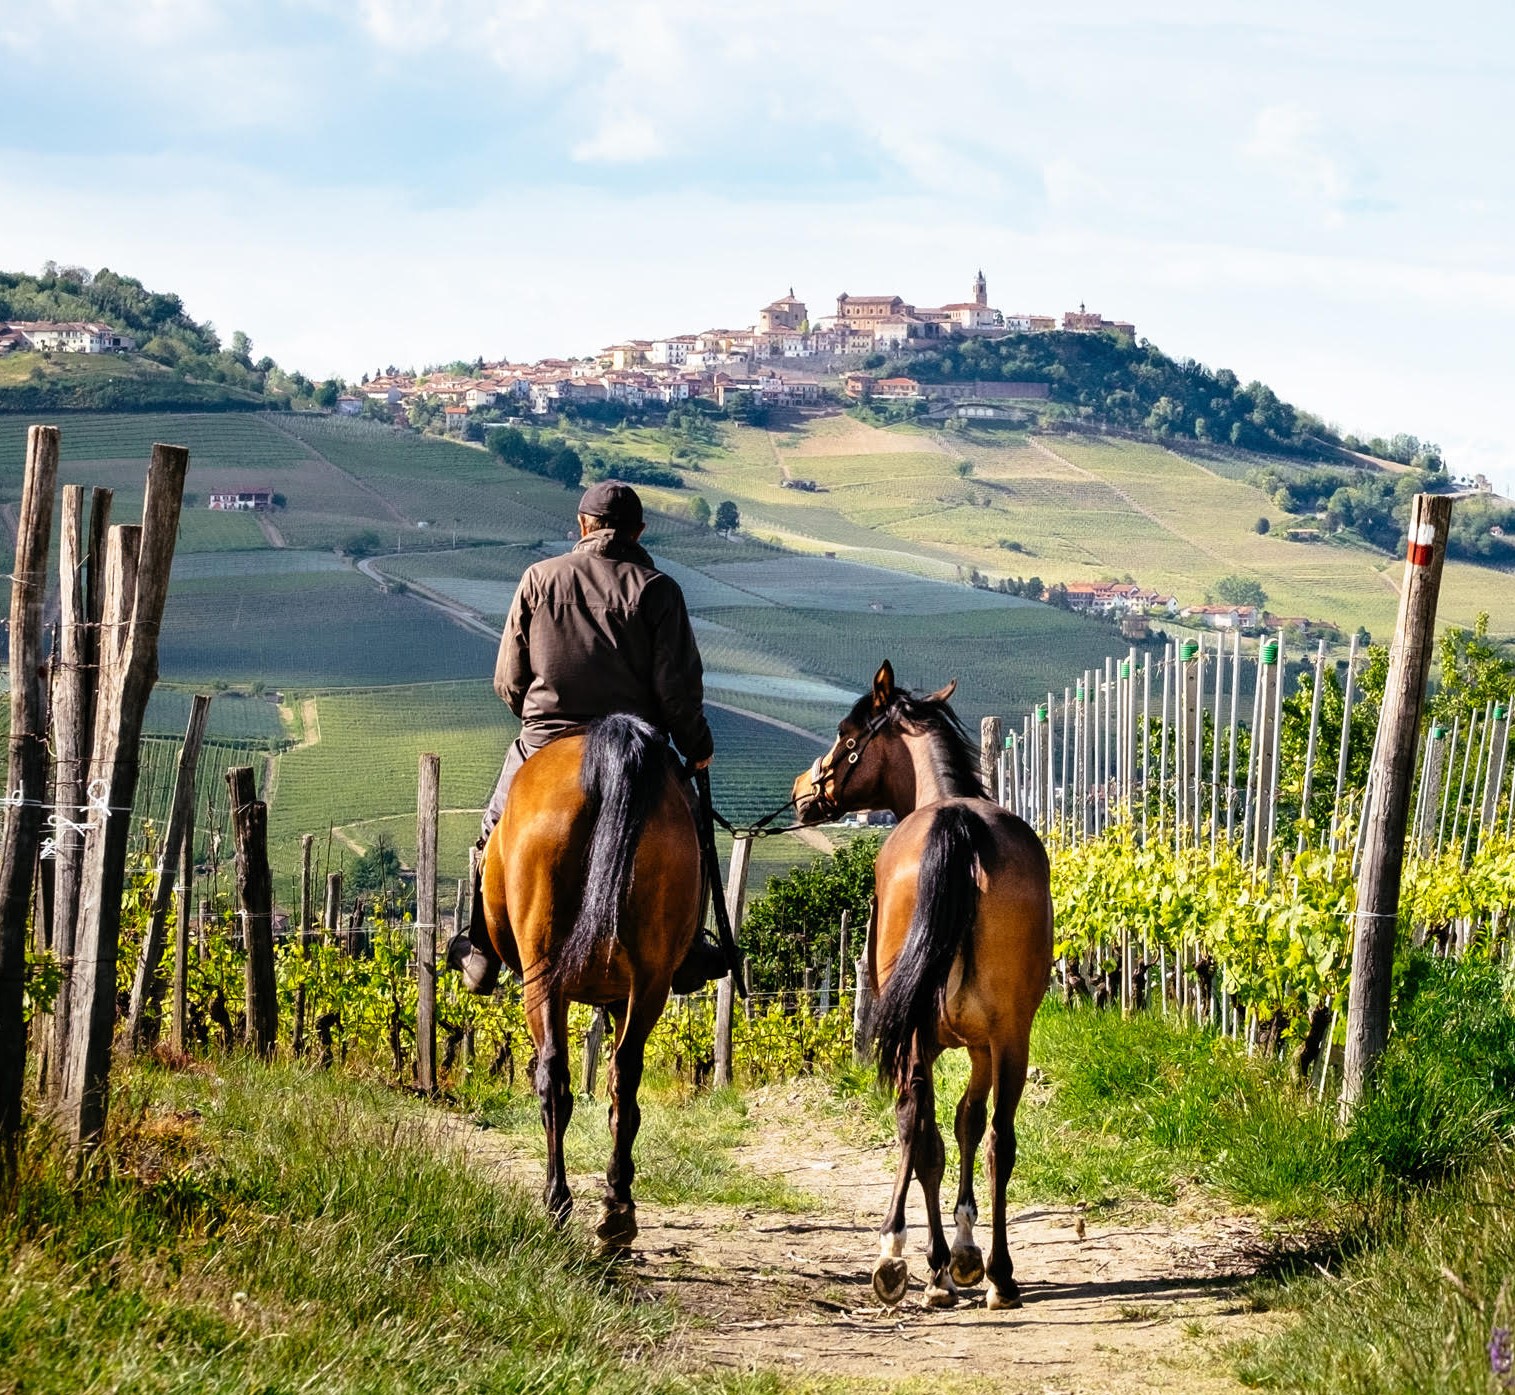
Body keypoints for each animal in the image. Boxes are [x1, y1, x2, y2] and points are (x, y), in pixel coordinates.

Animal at [478, 713, 702, 1247]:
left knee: (552, 1079)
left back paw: (558, 1201)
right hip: (650, 981)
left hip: (543, 975)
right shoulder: (625, 995)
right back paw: (617, 1210)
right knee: (625, 1078)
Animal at [792, 661, 1053, 1311]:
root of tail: (958, 826)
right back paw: (1001, 1276)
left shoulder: (934, 1039)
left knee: (917, 1126)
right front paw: (964, 1254)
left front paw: (942, 1261)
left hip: (924, 1032)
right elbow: (966, 1126)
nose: (805, 788)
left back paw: (900, 1258)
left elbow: (935, 1132)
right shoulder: (982, 1043)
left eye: (846, 733)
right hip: (1011, 1036)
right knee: (999, 1140)